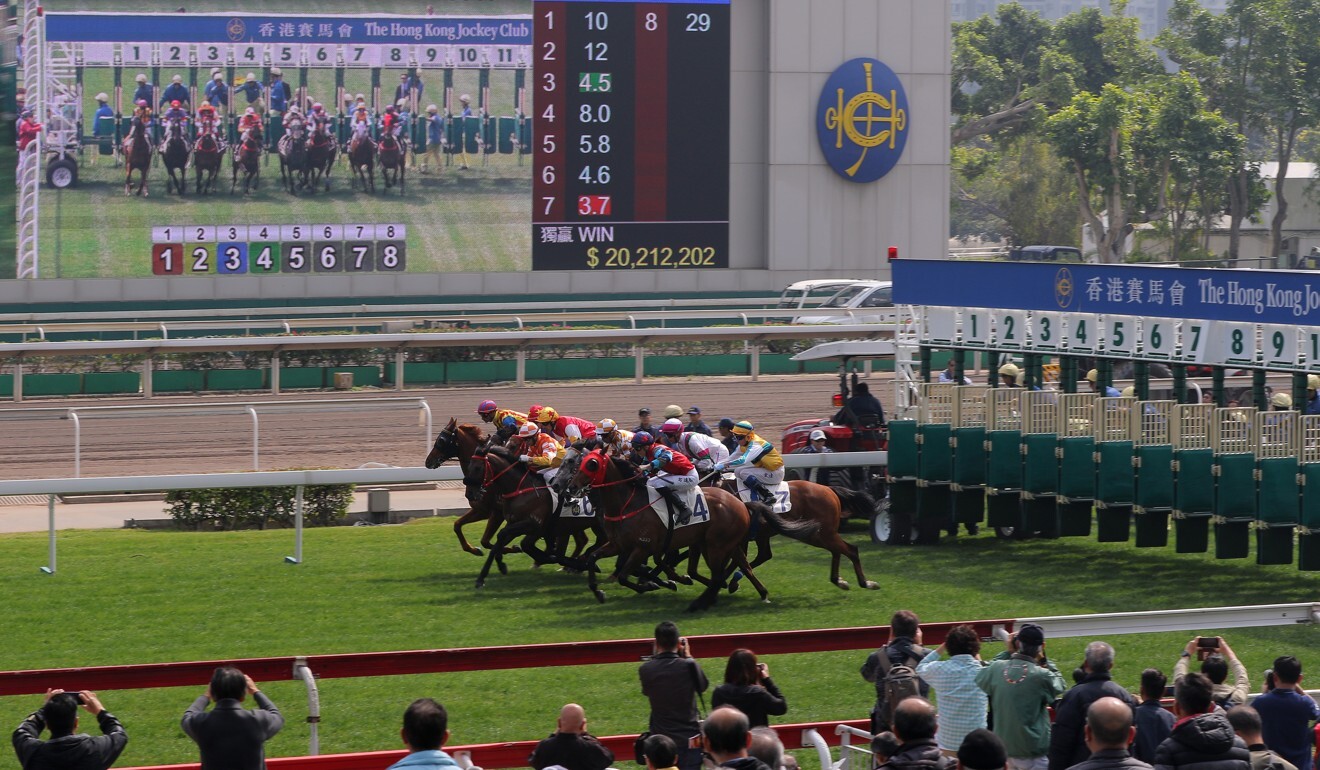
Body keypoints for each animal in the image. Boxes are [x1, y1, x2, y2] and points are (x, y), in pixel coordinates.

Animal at [567, 449, 781, 612]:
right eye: (580, 462)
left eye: (592, 463)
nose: (572, 487)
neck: (627, 504)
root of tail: (740, 503)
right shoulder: (618, 544)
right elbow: (593, 558)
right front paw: (598, 591)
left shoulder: (642, 547)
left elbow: (624, 576)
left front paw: (652, 584)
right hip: (725, 543)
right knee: (743, 566)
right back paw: (758, 592)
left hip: (716, 546)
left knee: (719, 575)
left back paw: (699, 602)